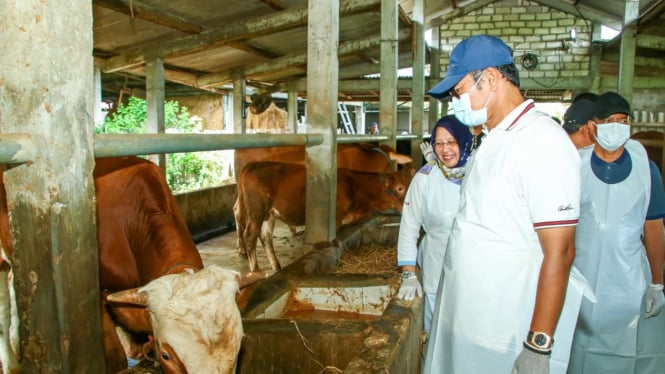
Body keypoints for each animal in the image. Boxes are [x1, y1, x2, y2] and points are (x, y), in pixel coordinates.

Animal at [236, 161, 408, 272]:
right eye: (400, 188)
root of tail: (251, 165)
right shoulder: (336, 219)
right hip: (256, 210)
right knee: (250, 235)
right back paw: (255, 271)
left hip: (268, 214)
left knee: (265, 237)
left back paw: (276, 267)